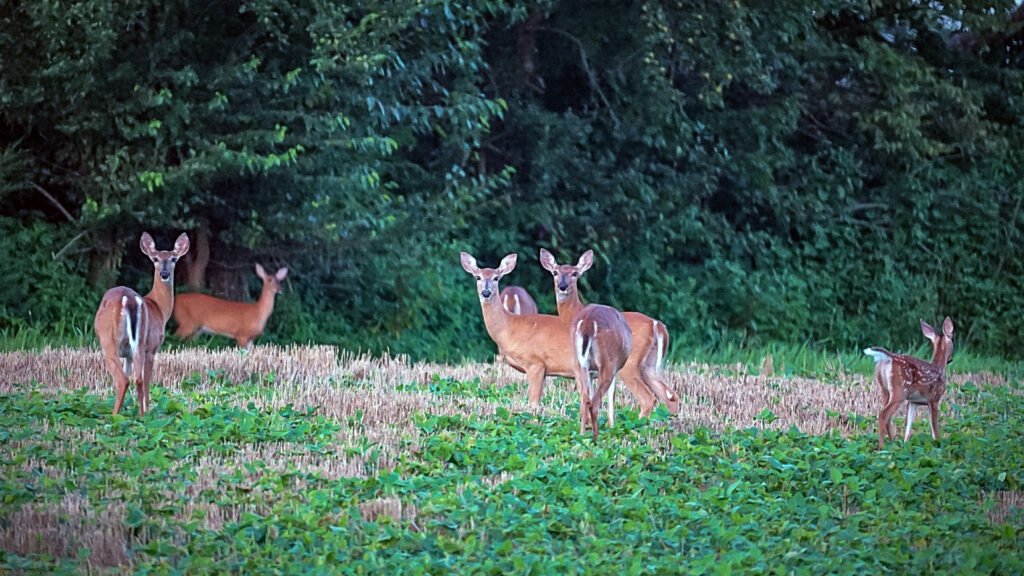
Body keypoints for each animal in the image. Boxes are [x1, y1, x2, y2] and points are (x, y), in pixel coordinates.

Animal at [93, 230, 189, 414]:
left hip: (110, 341)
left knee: (124, 380)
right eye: (155, 259)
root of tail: (129, 299)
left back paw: (117, 416)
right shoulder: (141, 350)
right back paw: (139, 415)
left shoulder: (148, 348)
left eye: (174, 259)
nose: (164, 274)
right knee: (136, 379)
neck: (159, 308)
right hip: (136, 343)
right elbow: (141, 379)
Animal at [536, 247, 679, 416]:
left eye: (575, 273)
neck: (575, 314)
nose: (562, 286)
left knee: (648, 398)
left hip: (630, 365)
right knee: (671, 396)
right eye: (555, 272)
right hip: (649, 365)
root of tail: (657, 325)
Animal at [569, 301, 630, 438]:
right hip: (608, 364)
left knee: (585, 400)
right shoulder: (615, 370)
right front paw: (613, 428)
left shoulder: (591, 373)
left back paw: (582, 435)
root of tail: (588, 322)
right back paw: (595, 437)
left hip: (578, 364)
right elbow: (611, 400)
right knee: (595, 403)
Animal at [868, 315, 954, 450]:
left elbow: (908, 428)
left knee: (888, 417)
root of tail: (889, 358)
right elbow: (935, 429)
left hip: (885, 390)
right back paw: (881, 448)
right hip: (900, 391)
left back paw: (893, 444)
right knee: (883, 415)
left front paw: (906, 445)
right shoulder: (934, 398)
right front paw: (938, 445)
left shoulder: (913, 401)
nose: (950, 359)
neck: (939, 368)